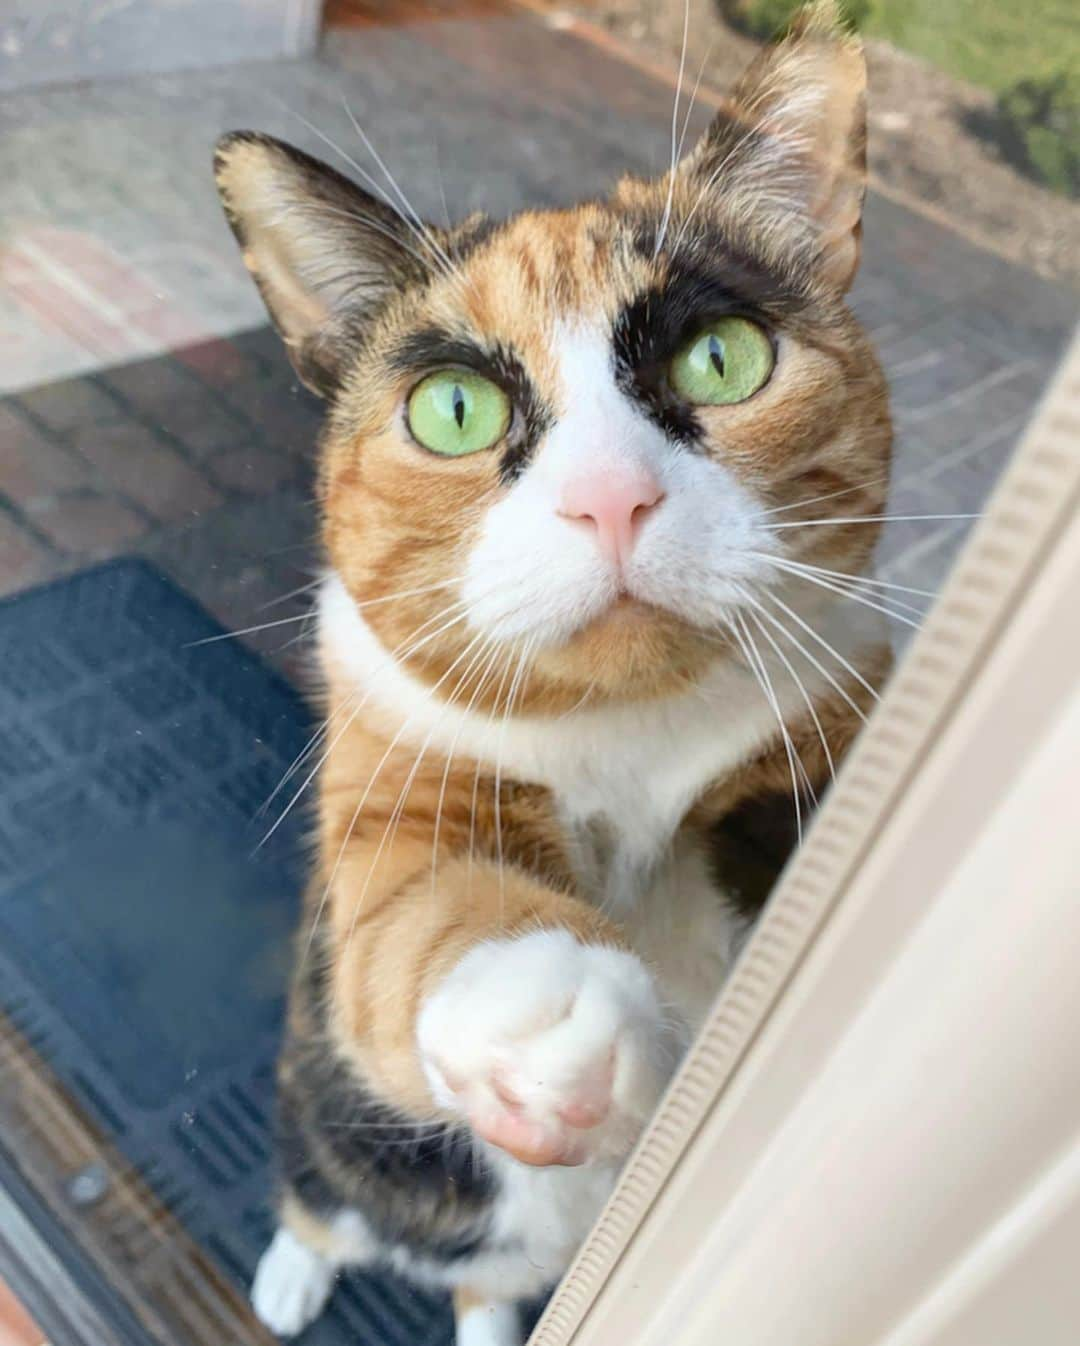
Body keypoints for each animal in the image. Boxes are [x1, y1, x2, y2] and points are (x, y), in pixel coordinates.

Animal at [212, 5, 894, 1340]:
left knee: (487, 1289)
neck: (630, 731)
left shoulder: (827, 707)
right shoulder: (391, 778)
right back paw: (291, 1274)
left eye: (722, 358)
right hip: (329, 1126)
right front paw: (548, 998)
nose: (609, 498)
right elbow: (417, 903)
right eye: (456, 408)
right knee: (323, 1203)